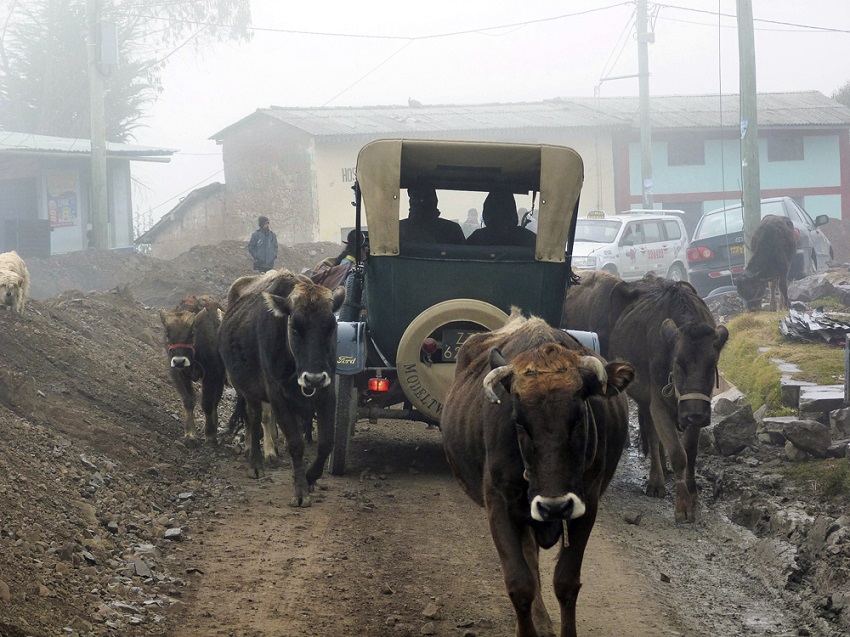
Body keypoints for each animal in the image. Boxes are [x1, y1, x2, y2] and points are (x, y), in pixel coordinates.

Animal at [158, 294, 227, 448]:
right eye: (168, 334)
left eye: (192, 334)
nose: (179, 361)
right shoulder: (178, 375)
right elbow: (188, 400)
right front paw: (190, 435)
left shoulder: (211, 375)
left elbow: (207, 402)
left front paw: (210, 434)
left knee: (215, 402)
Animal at [219, 268, 344, 506]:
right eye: (294, 327)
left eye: (331, 326)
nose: (313, 378)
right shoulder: (277, 396)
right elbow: (295, 443)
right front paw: (300, 491)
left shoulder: (327, 393)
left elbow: (326, 443)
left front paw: (309, 478)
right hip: (247, 391)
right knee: (254, 419)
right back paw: (255, 464)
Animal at [440, 308, 632, 636]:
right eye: (518, 421)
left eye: (578, 416)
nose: (554, 506)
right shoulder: (499, 506)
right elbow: (520, 584)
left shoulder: (587, 505)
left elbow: (566, 582)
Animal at [560, 270, 724, 524]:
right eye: (678, 363)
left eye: (711, 364)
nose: (694, 414)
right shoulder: (659, 402)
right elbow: (678, 453)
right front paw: (683, 506)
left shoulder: (696, 407)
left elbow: (690, 452)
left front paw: (694, 496)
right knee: (654, 435)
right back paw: (656, 481)